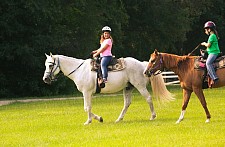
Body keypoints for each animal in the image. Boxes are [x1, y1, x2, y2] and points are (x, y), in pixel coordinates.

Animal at [42, 53, 174, 124]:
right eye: (46, 64)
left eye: (50, 65)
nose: (45, 79)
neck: (79, 70)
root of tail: (143, 64)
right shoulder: (88, 93)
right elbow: (88, 107)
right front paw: (99, 118)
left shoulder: (86, 92)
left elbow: (87, 107)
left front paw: (88, 121)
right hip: (128, 88)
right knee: (127, 103)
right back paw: (119, 119)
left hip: (139, 86)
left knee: (148, 98)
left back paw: (152, 116)